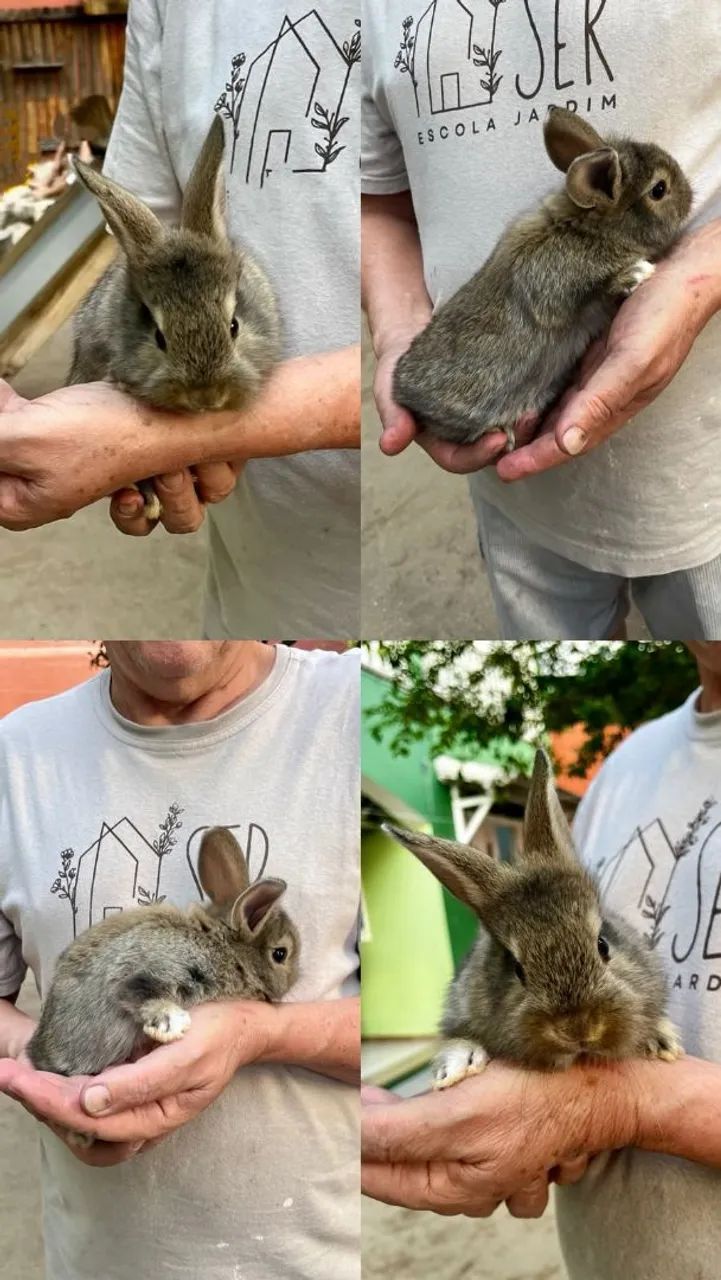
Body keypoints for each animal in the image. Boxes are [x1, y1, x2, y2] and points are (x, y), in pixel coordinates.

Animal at [28, 826, 299, 1144]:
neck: (223, 946)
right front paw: (173, 1025)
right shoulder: (150, 971)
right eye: (280, 954)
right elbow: (139, 994)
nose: (291, 984)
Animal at [392, 107, 692, 448]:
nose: (690, 195)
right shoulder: (554, 284)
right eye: (659, 189)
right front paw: (638, 273)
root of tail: (402, 395)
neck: (589, 227)